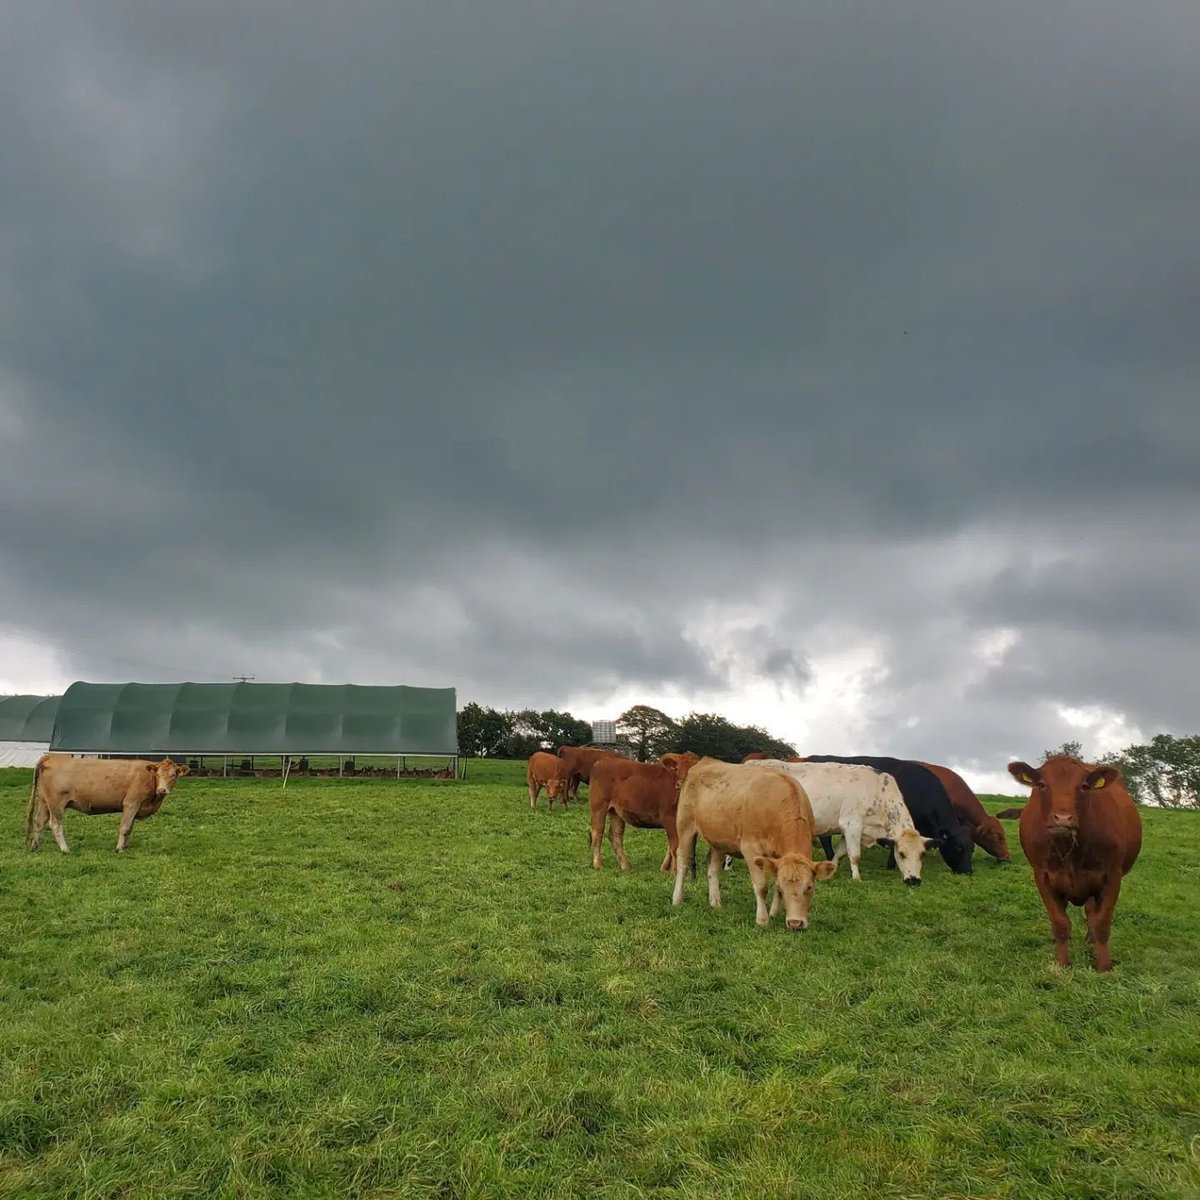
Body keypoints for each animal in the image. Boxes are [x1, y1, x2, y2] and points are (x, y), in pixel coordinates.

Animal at [27, 748, 189, 854]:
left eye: (173, 775)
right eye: (158, 774)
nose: (162, 790)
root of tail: (52, 757)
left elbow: (130, 828)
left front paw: (125, 847)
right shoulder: (131, 803)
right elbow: (125, 827)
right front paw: (119, 849)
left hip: (45, 801)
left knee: (39, 821)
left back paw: (34, 846)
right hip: (56, 803)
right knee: (55, 824)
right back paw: (65, 849)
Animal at [672, 758, 840, 926]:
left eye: (810, 887)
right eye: (785, 888)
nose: (795, 923)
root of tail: (705, 761)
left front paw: (774, 912)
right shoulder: (751, 849)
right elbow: (761, 886)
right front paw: (762, 919)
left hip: (719, 839)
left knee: (713, 868)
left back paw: (715, 902)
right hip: (685, 827)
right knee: (683, 862)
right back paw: (677, 899)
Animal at [748, 758, 936, 883]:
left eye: (923, 854)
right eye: (902, 854)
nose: (914, 880)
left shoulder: (853, 830)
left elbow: (840, 852)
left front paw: (832, 868)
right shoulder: (852, 824)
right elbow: (855, 855)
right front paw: (857, 878)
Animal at [1008, 753, 1137, 969]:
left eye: (1084, 786)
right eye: (1042, 784)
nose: (1062, 818)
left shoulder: (1113, 876)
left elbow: (1102, 923)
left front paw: (1104, 965)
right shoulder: (1042, 876)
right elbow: (1060, 923)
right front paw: (1062, 963)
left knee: (1092, 912)